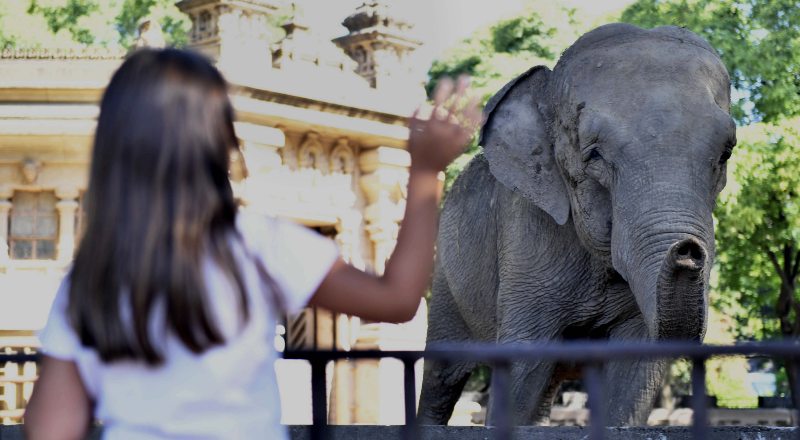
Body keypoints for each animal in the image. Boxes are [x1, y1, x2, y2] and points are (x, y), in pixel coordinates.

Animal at [418, 23, 736, 426]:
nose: (688, 250)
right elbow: (522, 367)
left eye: (726, 153)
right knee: (442, 377)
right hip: (446, 278)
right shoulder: (527, 239)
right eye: (594, 154)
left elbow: (633, 375)